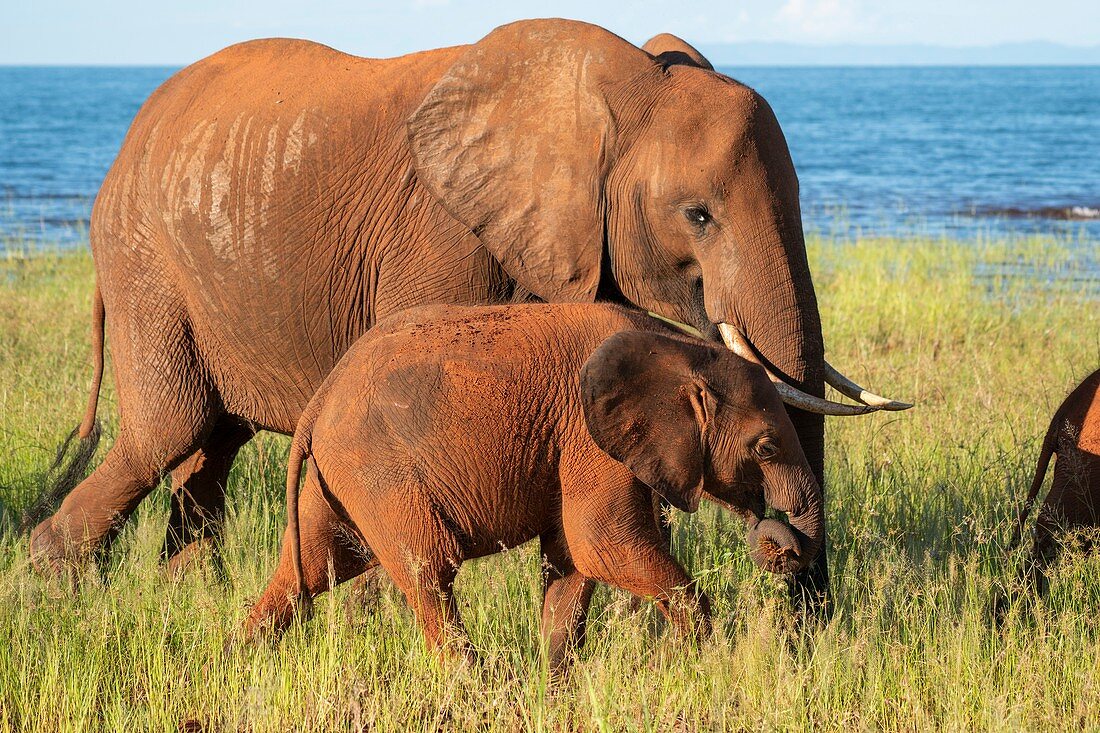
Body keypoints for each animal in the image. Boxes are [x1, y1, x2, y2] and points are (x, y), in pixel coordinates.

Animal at [36, 19, 910, 611]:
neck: (615, 85)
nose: (793, 585)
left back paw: (185, 592)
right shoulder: (442, 232)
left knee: (212, 443)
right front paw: (372, 618)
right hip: (146, 263)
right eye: (699, 216)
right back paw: (47, 577)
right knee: (170, 428)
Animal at [245, 299, 822, 664]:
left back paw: (242, 659)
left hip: (341, 475)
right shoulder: (587, 435)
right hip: (380, 472)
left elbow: (572, 561)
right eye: (766, 448)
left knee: (310, 566)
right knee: (428, 572)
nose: (778, 540)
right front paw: (707, 661)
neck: (679, 349)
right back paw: (476, 687)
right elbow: (602, 544)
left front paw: (556, 688)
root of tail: (321, 396)